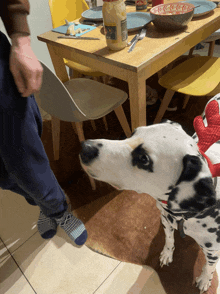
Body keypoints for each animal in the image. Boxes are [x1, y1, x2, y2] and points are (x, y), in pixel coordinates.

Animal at [79, 95, 220, 292]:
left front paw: (205, 279)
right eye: (133, 132)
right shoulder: (166, 222)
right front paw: (167, 253)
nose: (85, 147)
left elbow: (209, 266)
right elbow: (169, 240)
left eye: (144, 159)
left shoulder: (212, 250)